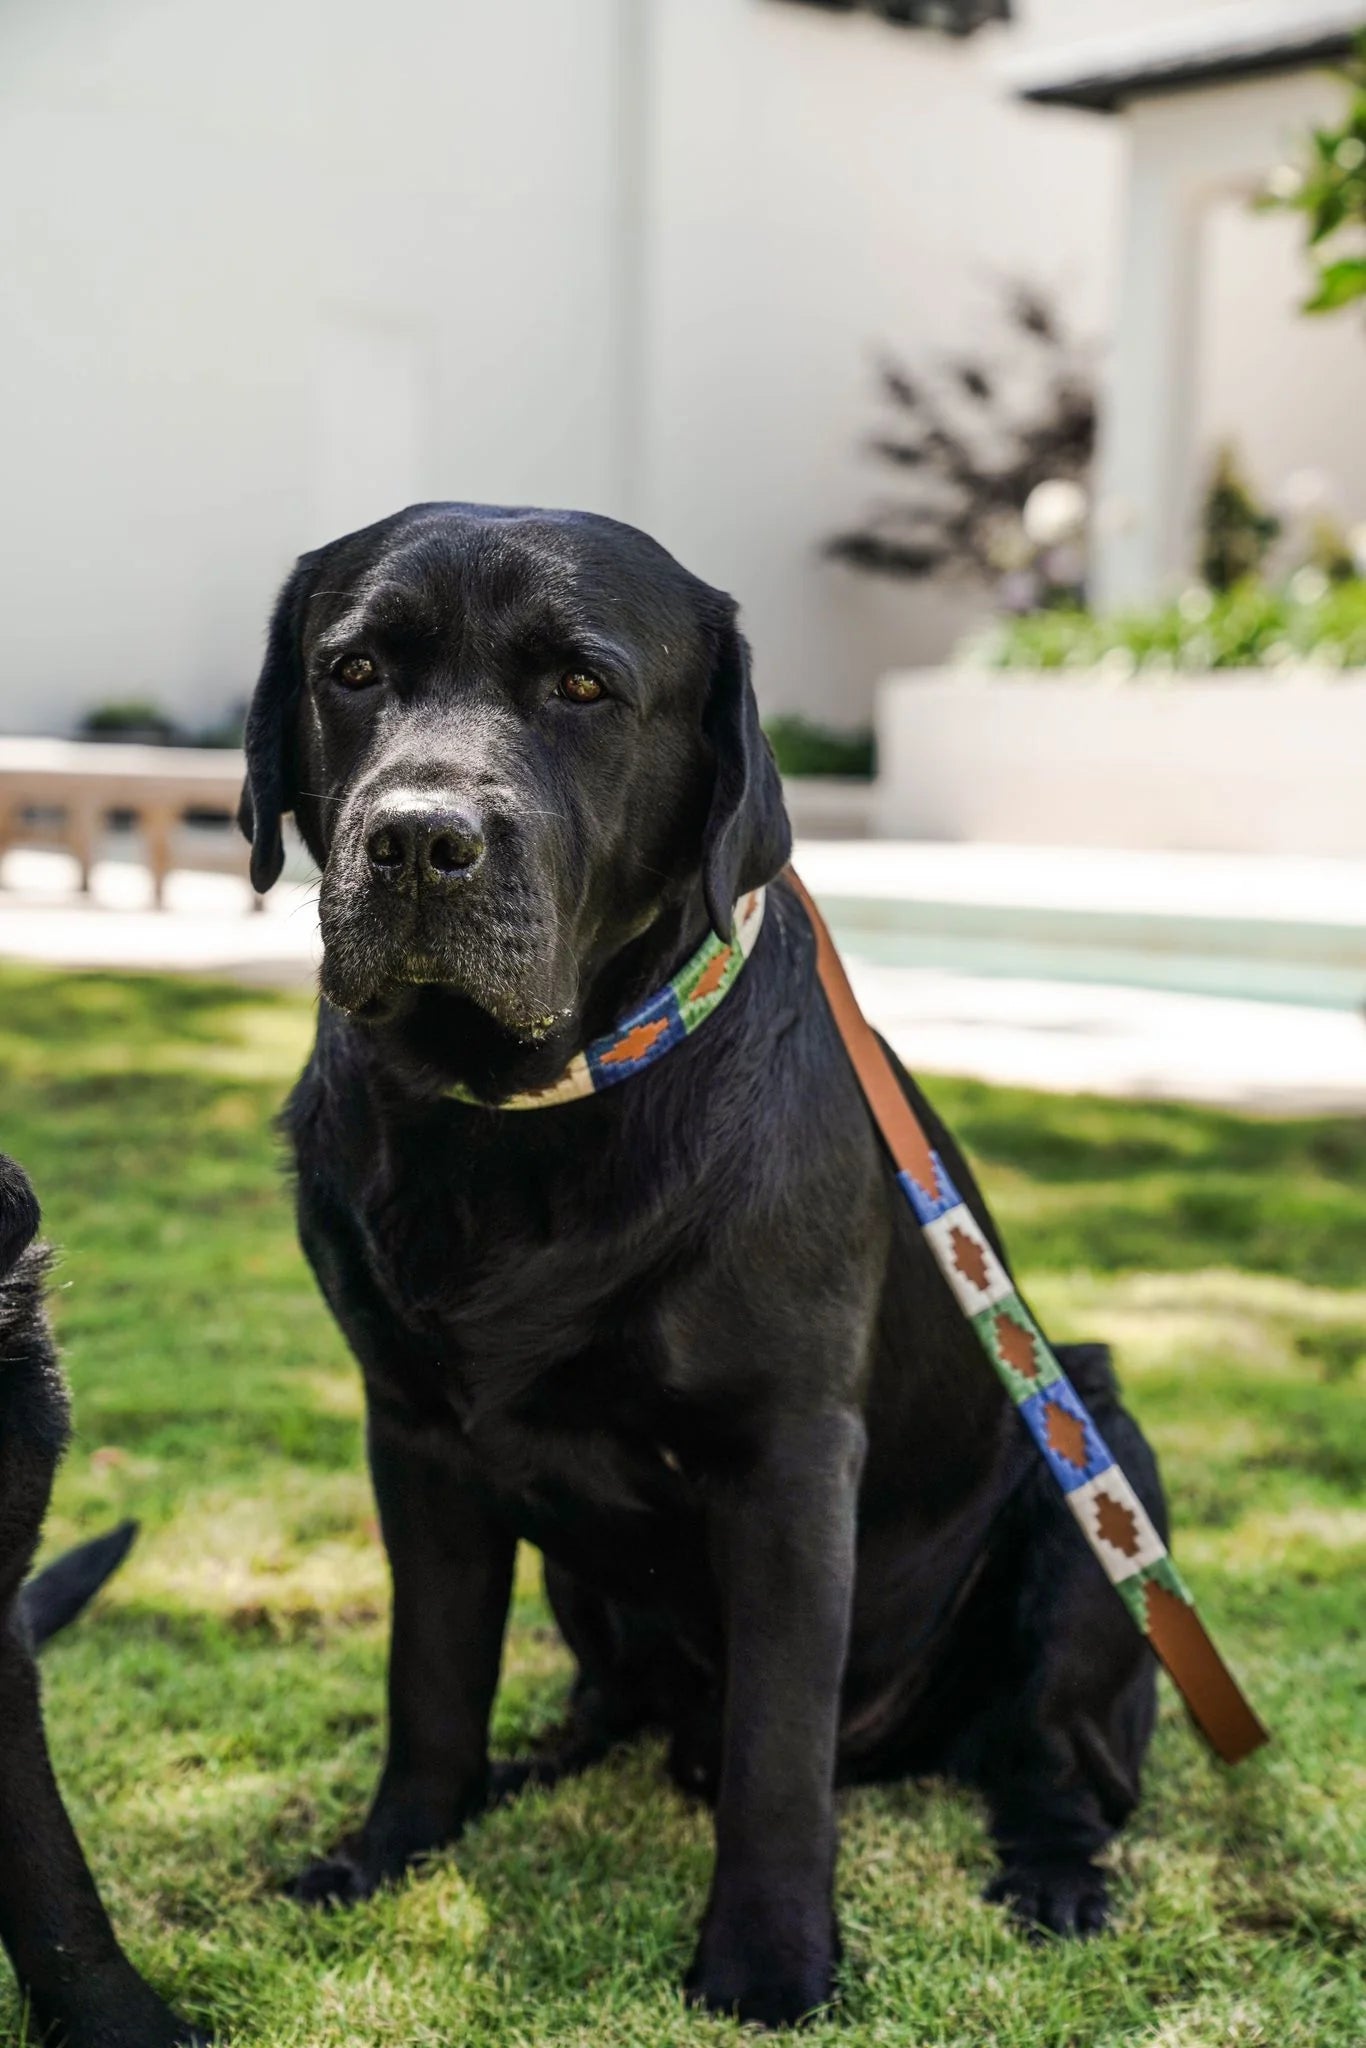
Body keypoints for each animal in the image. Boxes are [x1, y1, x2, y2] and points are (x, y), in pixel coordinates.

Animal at [237, 507, 1163, 2031]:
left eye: (583, 687)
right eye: (354, 670)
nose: (420, 837)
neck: (516, 1118)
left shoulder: (785, 1457)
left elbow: (776, 1751)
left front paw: (769, 1963)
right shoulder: (414, 1437)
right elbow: (429, 1676)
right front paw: (389, 1852)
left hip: (1097, 1476)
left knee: (1052, 1755)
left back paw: (1052, 1874)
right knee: (606, 1700)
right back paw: (537, 1762)